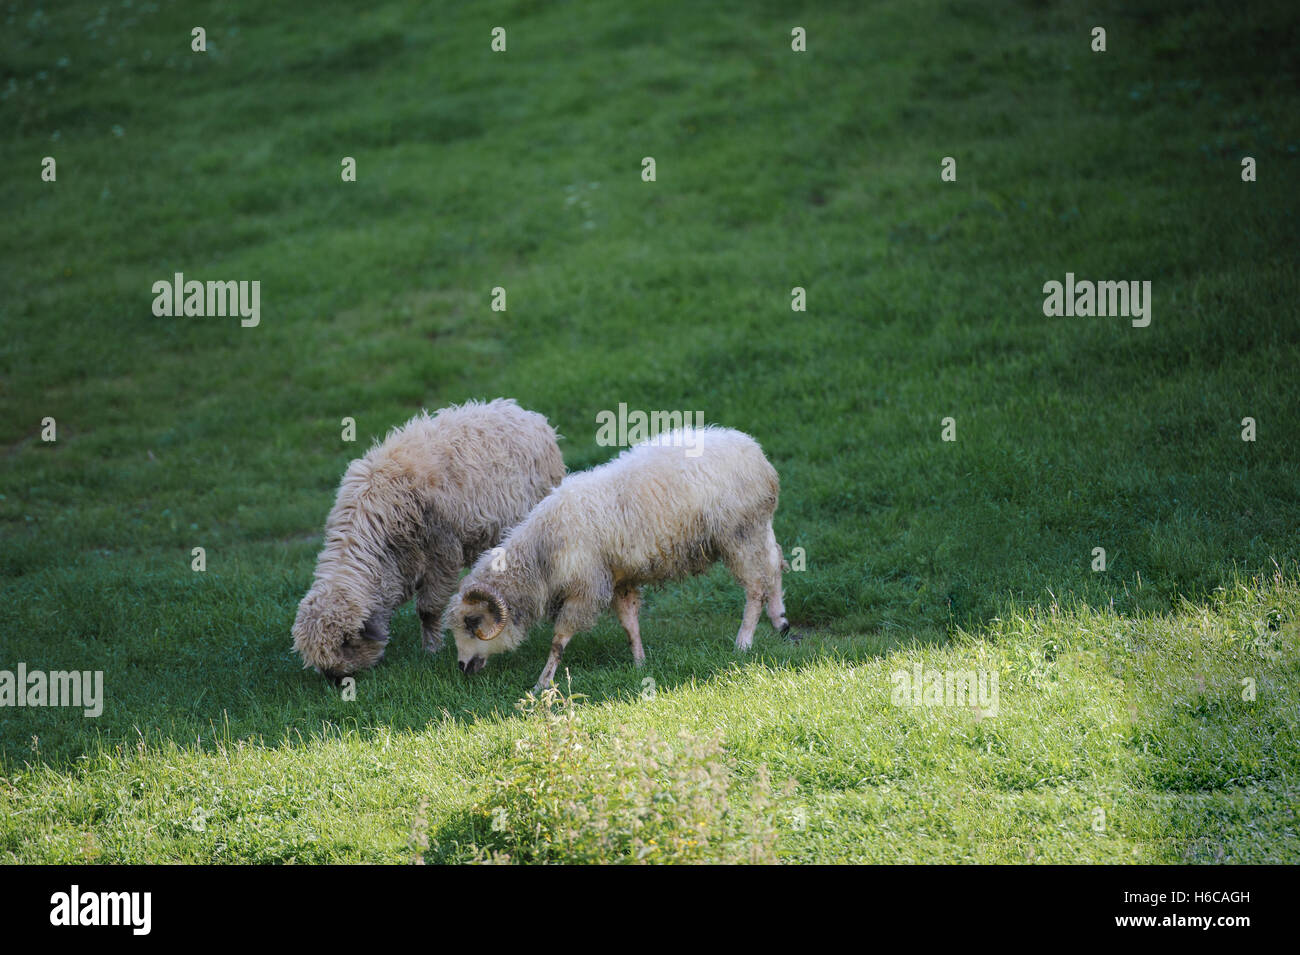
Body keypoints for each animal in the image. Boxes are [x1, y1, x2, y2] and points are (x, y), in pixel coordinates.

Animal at [292, 398, 565, 682]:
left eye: (346, 645)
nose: (336, 682)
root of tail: (524, 413)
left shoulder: (441, 553)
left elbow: (428, 609)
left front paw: (431, 650)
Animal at [442, 425, 793, 690]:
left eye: (472, 622)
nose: (462, 666)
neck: (541, 553)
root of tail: (756, 455)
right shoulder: (619, 579)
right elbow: (629, 623)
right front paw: (639, 663)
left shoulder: (586, 588)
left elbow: (559, 638)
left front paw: (543, 682)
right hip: (758, 527)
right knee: (774, 564)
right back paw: (780, 622)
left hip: (739, 534)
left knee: (755, 587)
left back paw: (744, 641)